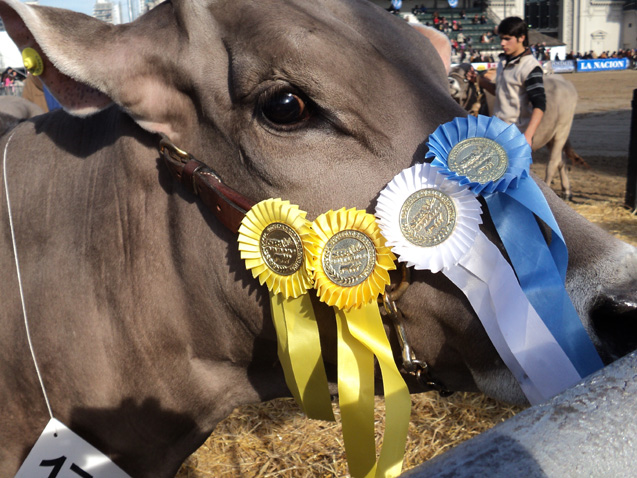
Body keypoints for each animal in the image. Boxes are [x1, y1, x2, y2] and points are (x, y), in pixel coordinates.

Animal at [450, 65, 588, 200]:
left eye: (465, 79)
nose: (450, 80)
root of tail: (564, 82)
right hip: (551, 136)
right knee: (562, 161)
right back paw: (567, 191)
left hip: (562, 131)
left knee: (553, 163)